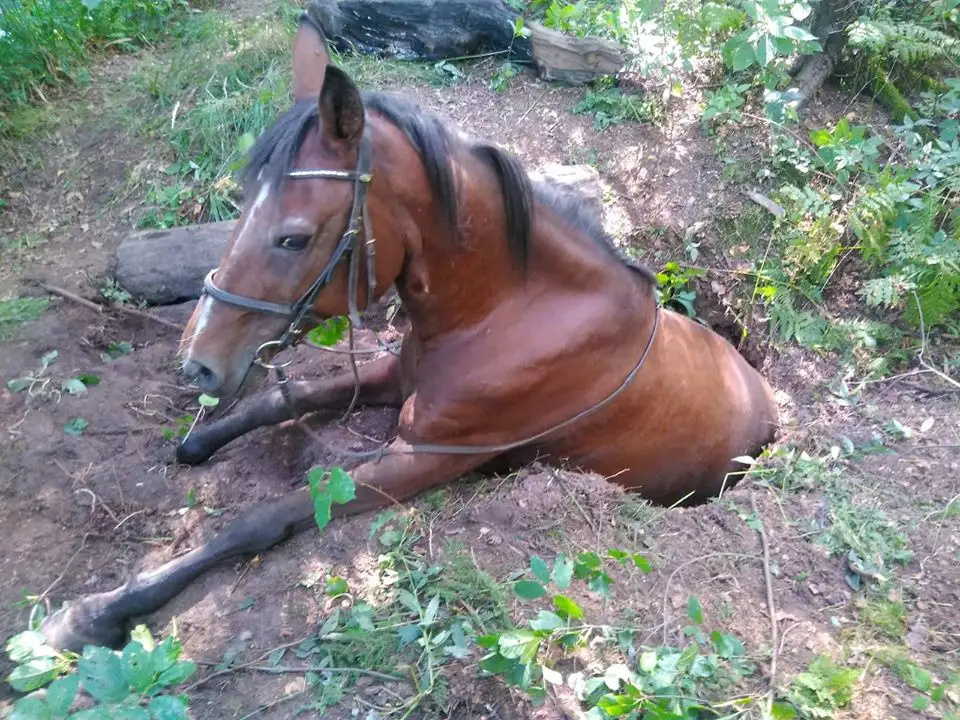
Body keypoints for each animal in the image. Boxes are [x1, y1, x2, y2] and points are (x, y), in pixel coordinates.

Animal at [38, 15, 778, 653]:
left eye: (293, 237)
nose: (198, 364)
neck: (511, 315)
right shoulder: (398, 376)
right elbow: (285, 397)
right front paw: (199, 441)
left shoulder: (425, 456)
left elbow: (263, 517)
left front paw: (96, 612)